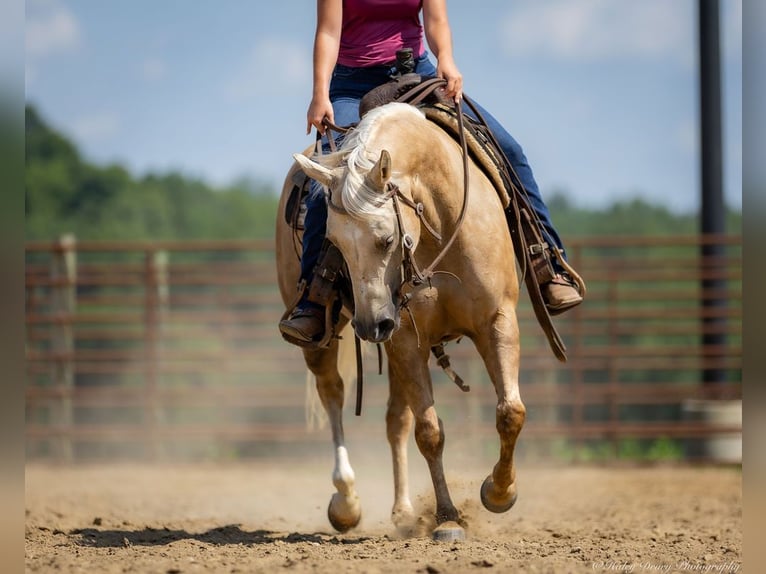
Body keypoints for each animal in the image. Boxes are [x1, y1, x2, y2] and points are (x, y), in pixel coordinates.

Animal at [275, 102, 525, 541]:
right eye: (332, 244)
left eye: (386, 239)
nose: (370, 325)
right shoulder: (406, 338)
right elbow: (430, 431)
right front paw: (448, 517)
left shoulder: (497, 320)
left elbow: (510, 412)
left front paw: (498, 493)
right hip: (325, 340)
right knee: (333, 395)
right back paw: (346, 501)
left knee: (396, 420)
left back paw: (404, 511)